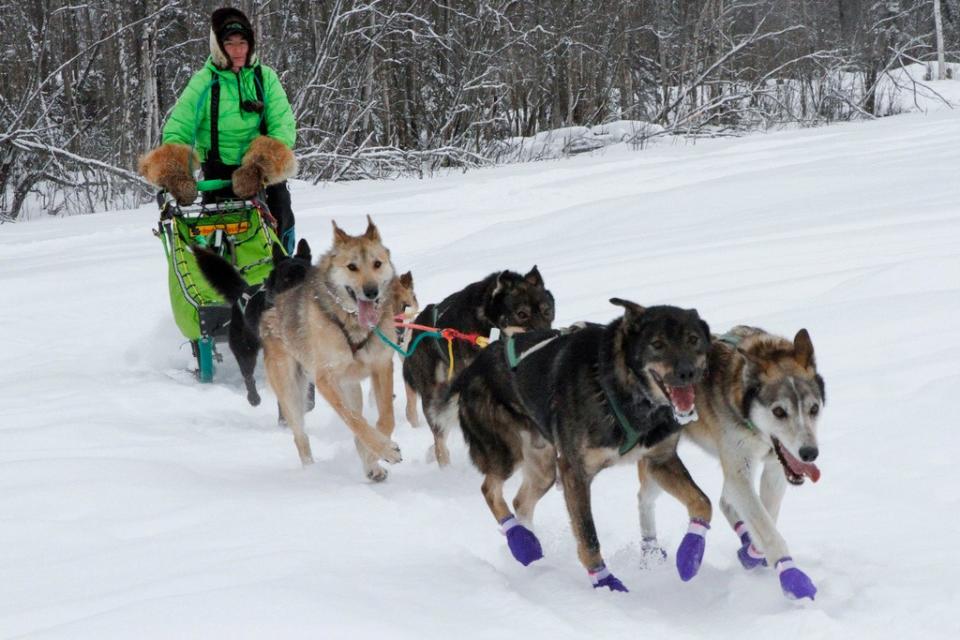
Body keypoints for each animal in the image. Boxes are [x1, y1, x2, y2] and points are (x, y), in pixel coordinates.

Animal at [402, 268, 556, 468]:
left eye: (547, 311)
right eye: (522, 314)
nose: (546, 335)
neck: (488, 322)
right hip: (431, 394)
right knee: (439, 437)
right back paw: (445, 465)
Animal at [440, 298, 712, 592]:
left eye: (693, 339)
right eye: (657, 344)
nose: (687, 372)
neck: (618, 389)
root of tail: (471, 369)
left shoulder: (659, 461)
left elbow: (703, 503)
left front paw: (690, 553)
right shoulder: (575, 473)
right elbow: (588, 535)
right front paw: (606, 583)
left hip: (545, 468)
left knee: (520, 501)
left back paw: (530, 543)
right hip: (506, 454)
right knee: (489, 489)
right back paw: (520, 542)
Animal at [636, 324, 824, 600]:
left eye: (813, 409)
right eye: (779, 411)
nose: (810, 453)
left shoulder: (773, 467)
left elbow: (767, 514)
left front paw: (752, 553)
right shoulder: (739, 468)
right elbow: (767, 529)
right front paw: (792, 576)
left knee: (725, 501)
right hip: (660, 462)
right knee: (644, 498)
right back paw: (649, 550)